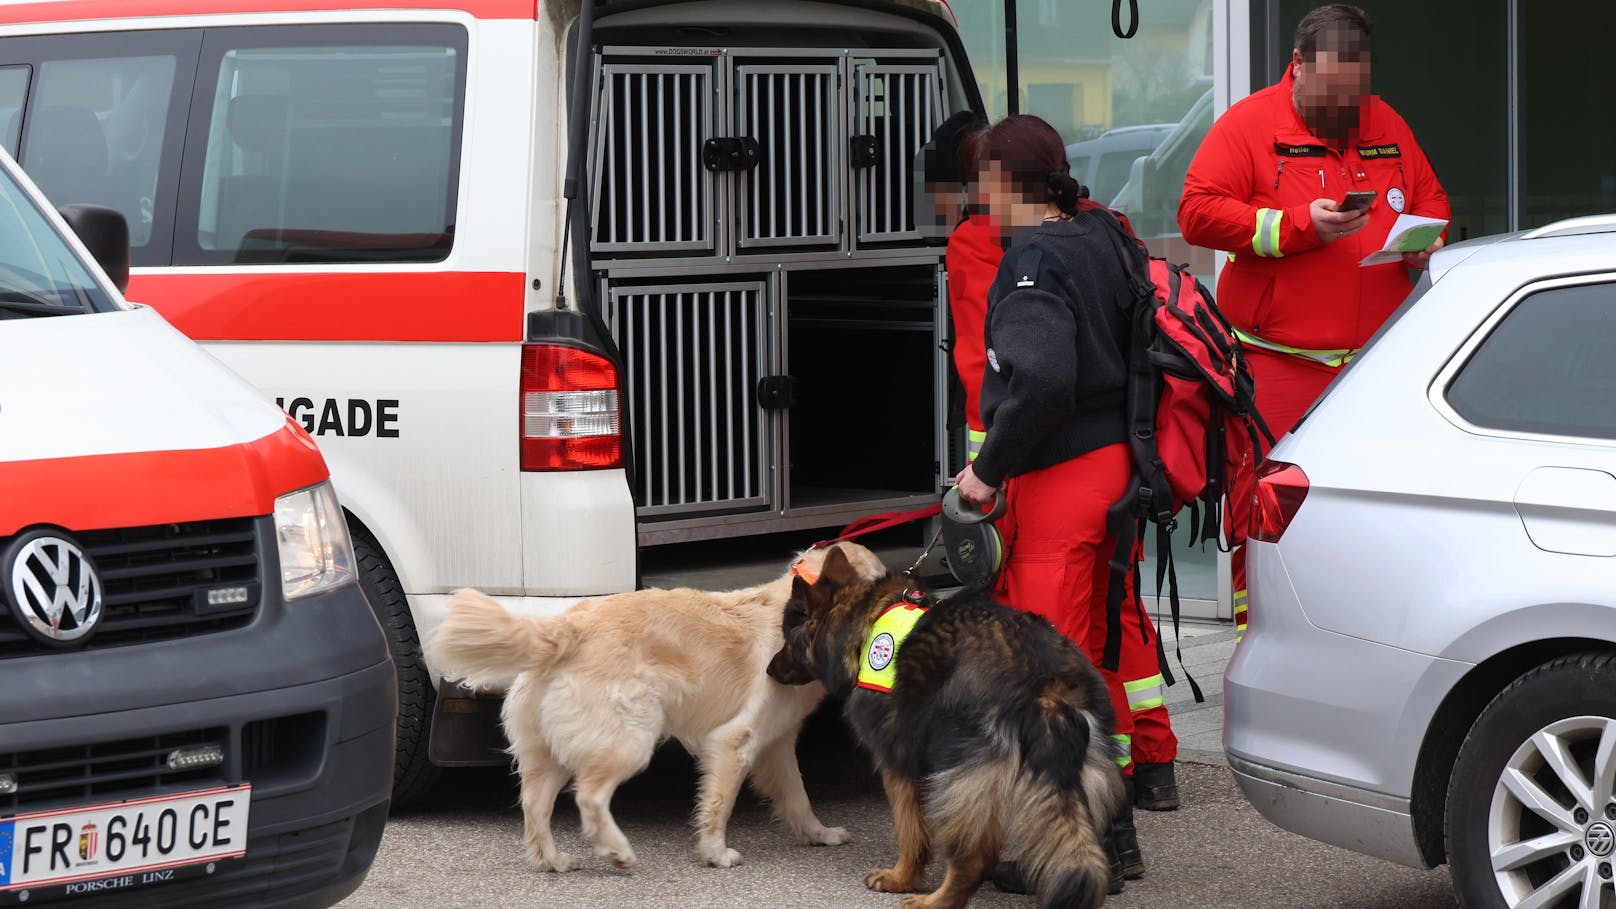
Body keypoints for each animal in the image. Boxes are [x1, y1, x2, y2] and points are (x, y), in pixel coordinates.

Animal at [423, 536, 892, 873]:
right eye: (882, 579)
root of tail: (561, 630)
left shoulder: (776, 746)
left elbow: (798, 797)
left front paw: (819, 834)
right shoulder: (735, 742)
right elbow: (718, 803)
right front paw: (715, 852)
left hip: (551, 750)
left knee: (535, 805)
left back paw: (552, 861)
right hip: (630, 740)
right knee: (589, 797)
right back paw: (617, 852)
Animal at [769, 543, 1124, 905]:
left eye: (786, 640)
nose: (769, 669)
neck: (862, 622)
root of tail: (1044, 687)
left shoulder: (897, 765)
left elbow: (910, 831)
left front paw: (901, 879)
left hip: (957, 777)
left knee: (974, 859)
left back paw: (934, 901)